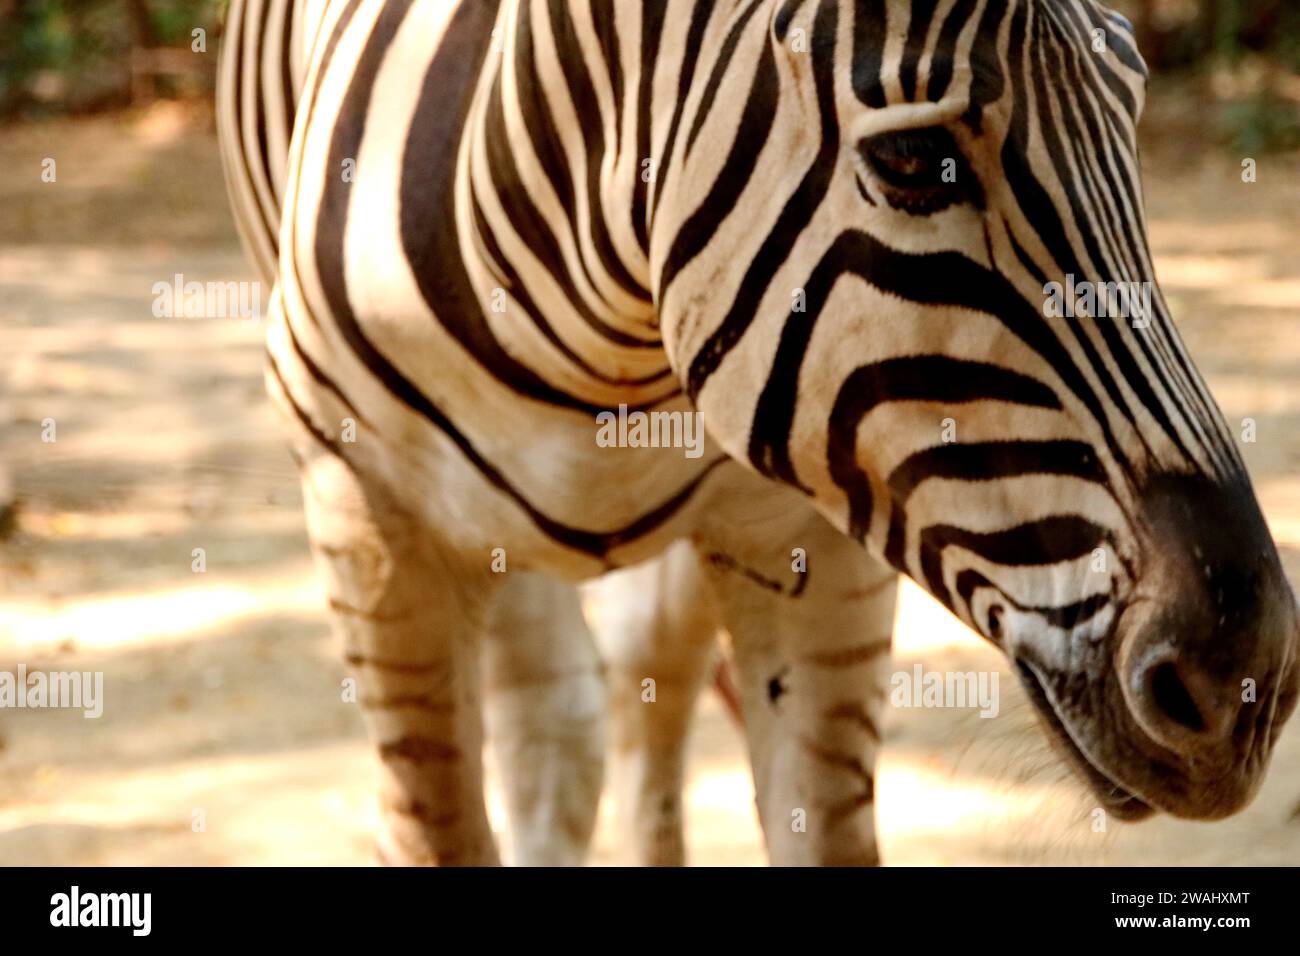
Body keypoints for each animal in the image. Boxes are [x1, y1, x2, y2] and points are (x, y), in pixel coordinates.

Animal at [218, 0, 1299, 866]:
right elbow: (438, 826)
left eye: (1132, 110)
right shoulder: (373, 517)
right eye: (912, 161)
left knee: (634, 689)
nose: (1246, 682)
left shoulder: (807, 530)